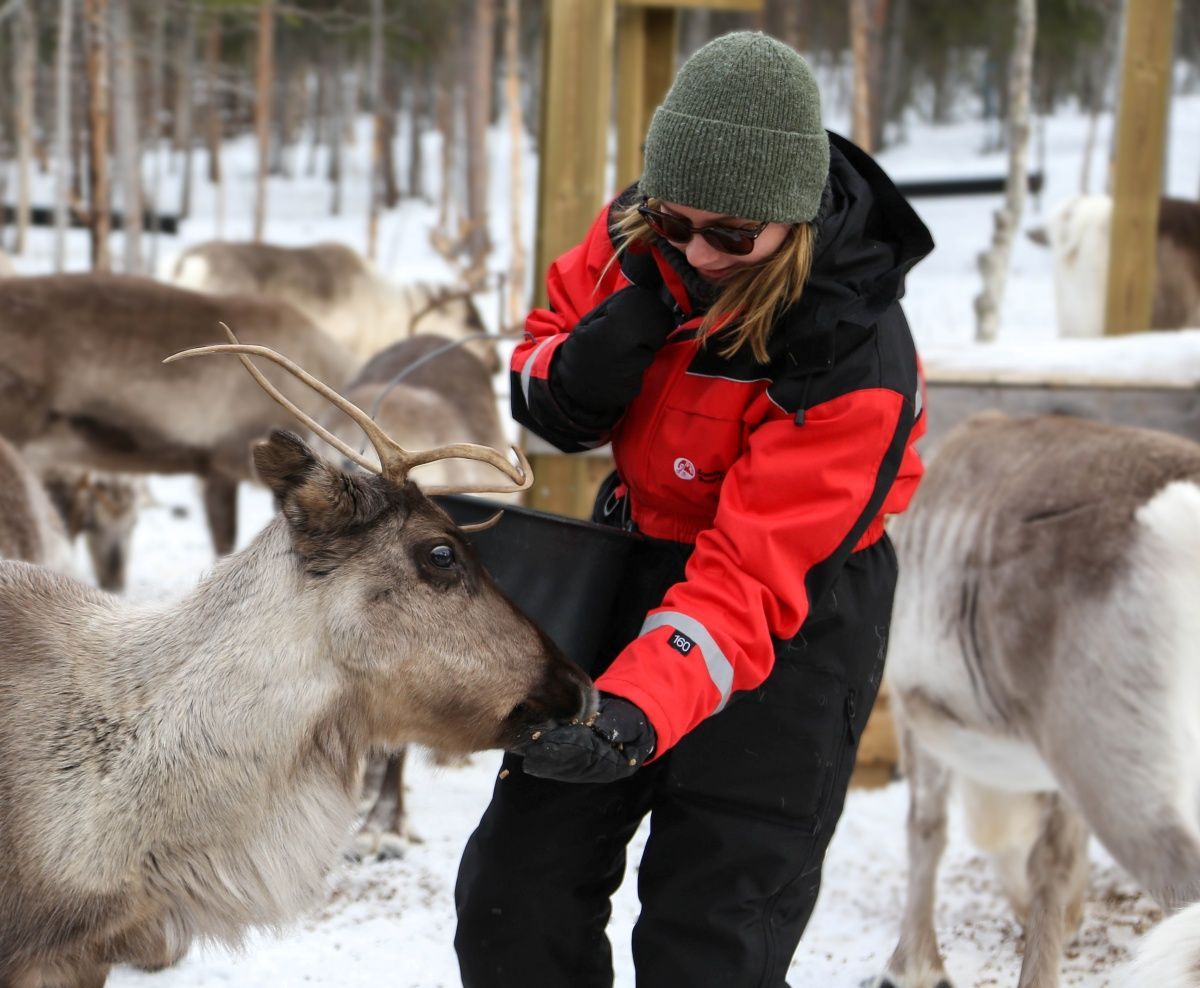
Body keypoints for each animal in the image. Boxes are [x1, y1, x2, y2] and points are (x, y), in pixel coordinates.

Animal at [874, 411, 1200, 988]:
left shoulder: (917, 715)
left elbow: (926, 831)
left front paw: (913, 967)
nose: (1072, 922)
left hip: (1118, 779)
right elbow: (1053, 861)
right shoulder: (1052, 769)